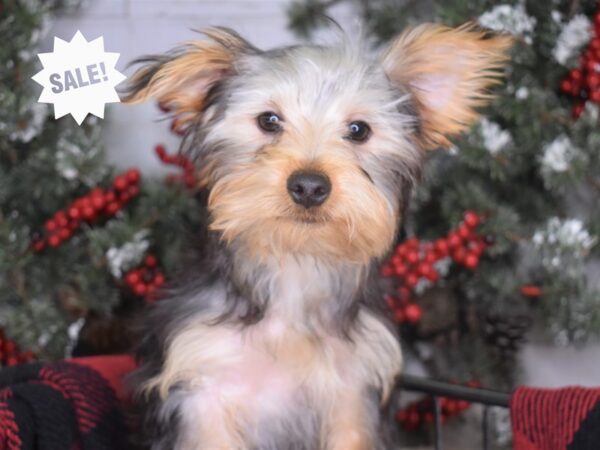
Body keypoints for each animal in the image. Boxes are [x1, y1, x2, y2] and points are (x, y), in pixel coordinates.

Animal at [124, 24, 508, 450]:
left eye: (358, 130)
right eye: (268, 121)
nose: (309, 186)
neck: (296, 267)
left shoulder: (353, 395)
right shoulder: (202, 390)